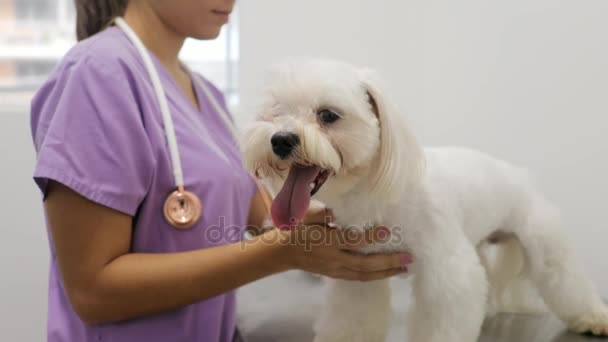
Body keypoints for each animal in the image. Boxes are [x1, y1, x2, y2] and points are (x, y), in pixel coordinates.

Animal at [242, 60, 608, 340]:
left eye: (329, 115)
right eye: (276, 113)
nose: (281, 139)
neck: (373, 195)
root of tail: (521, 175)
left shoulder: (446, 275)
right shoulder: (357, 278)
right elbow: (353, 318)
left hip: (544, 242)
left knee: (566, 279)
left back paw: (593, 317)